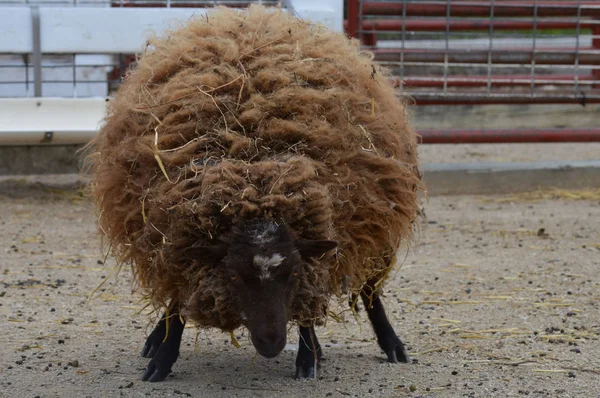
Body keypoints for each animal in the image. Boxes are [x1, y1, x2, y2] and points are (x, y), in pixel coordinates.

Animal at [85, 3, 422, 382]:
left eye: (292, 273)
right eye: (234, 275)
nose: (272, 344)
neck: (255, 179)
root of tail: (259, 14)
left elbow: (308, 304)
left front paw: (307, 358)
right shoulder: (174, 237)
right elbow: (178, 302)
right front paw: (163, 356)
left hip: (376, 230)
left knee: (370, 290)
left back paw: (390, 344)